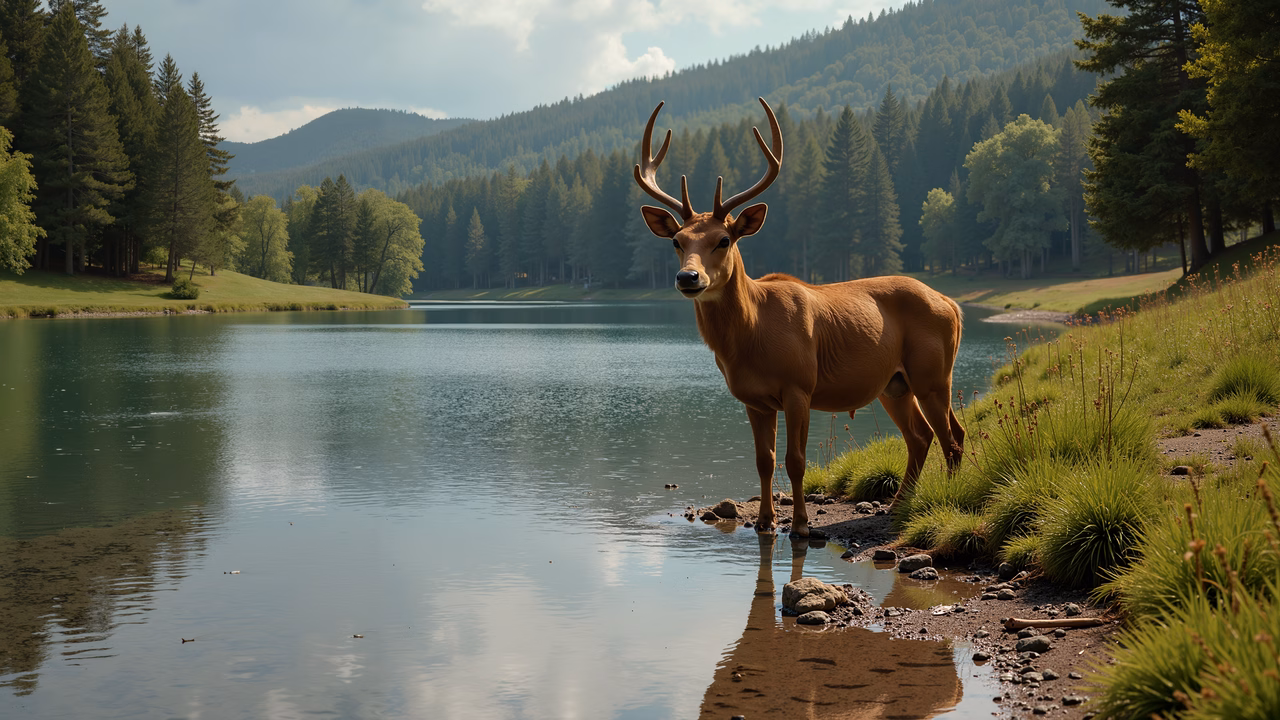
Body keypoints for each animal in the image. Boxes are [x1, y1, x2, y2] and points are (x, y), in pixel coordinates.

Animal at [634, 98, 965, 538]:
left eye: (724, 240)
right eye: (677, 240)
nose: (688, 277)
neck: (752, 336)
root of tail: (953, 304)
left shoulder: (799, 385)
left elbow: (796, 461)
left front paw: (802, 525)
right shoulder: (754, 400)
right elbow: (764, 460)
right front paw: (764, 521)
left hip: (933, 374)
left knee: (951, 436)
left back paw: (945, 500)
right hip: (894, 384)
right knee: (921, 435)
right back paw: (897, 505)